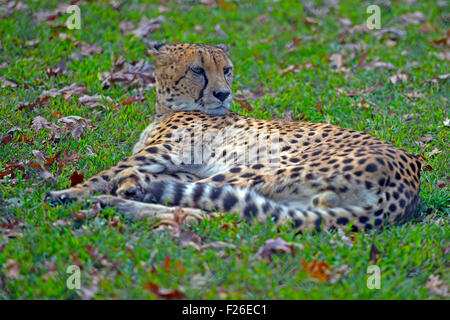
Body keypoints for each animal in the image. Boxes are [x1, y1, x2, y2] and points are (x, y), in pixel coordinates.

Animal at [44, 42, 420, 232]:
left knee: (202, 208)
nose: (223, 93)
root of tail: (410, 184)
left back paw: (111, 202)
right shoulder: (181, 166)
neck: (168, 107)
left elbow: (111, 171)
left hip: (260, 166)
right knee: (224, 212)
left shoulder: (162, 154)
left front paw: (69, 191)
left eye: (226, 69)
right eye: (197, 70)